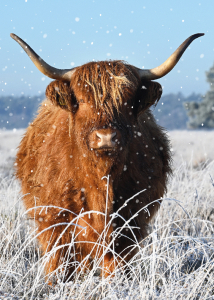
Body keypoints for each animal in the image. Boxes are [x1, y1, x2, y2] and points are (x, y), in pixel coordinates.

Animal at [11, 33, 204, 282]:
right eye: (82, 101)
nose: (106, 137)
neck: (101, 179)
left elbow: (115, 266)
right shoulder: (56, 221)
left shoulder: (129, 223)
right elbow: (61, 264)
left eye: (127, 102)